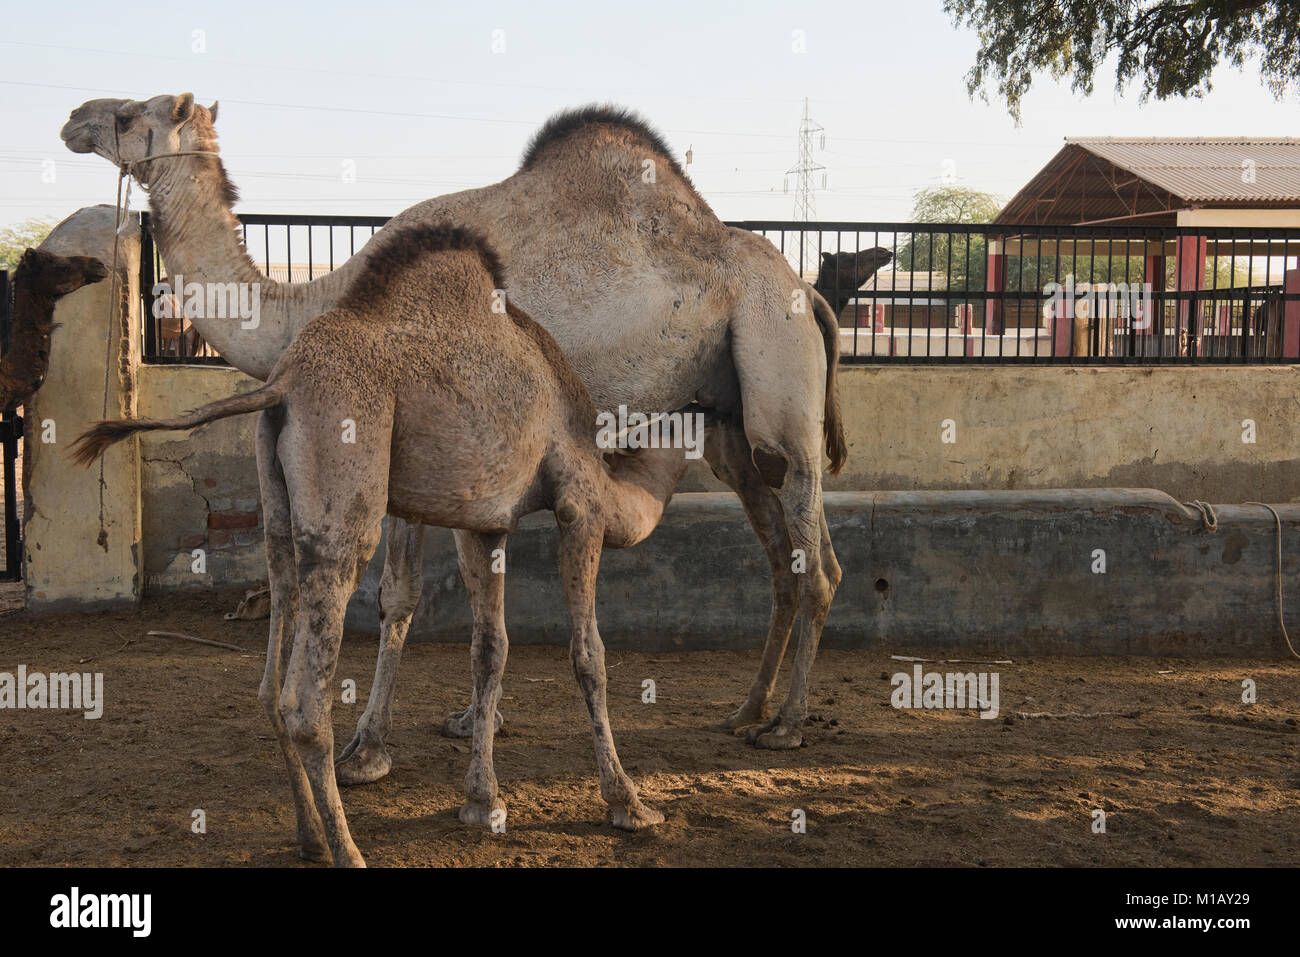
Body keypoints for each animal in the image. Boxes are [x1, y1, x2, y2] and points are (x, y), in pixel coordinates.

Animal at [74, 223, 686, 868]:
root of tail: (283, 385)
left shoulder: (484, 523)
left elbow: (489, 648)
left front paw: (482, 800)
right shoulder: (580, 505)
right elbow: (588, 653)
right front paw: (628, 802)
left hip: (277, 508)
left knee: (271, 674)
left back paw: (311, 838)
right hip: (349, 489)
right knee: (305, 701)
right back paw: (347, 848)